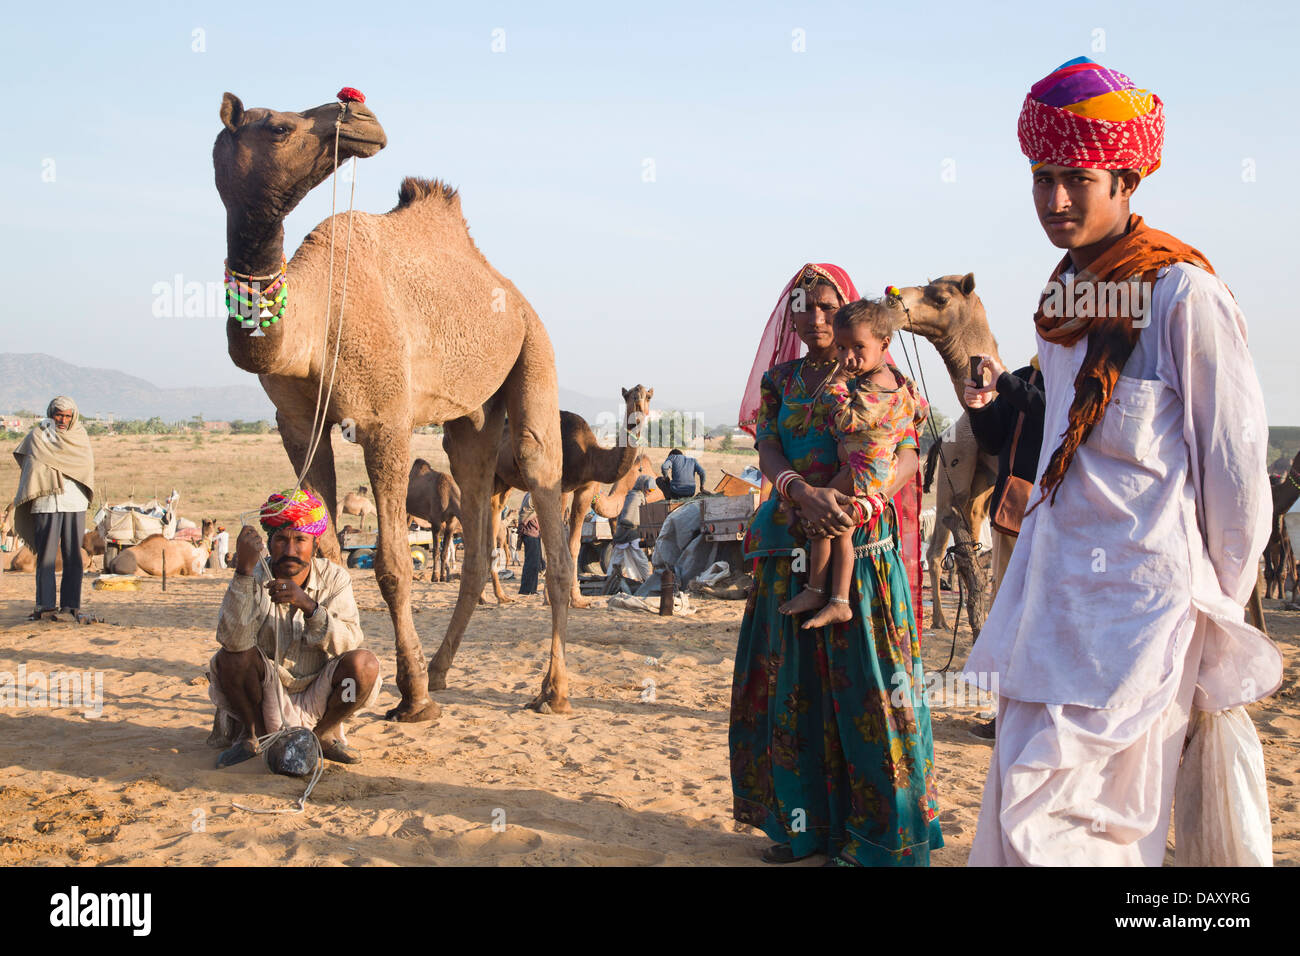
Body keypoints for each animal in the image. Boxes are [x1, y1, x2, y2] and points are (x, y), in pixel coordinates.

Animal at [213, 91, 574, 717]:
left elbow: (392, 563)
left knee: (541, 488)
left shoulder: (386, 420)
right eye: (279, 127)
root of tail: (511, 292)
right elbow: (329, 545)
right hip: (471, 421)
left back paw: (551, 690)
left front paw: (412, 698)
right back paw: (444, 668)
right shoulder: (298, 425)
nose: (356, 111)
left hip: (535, 347)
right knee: (475, 531)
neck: (315, 316)